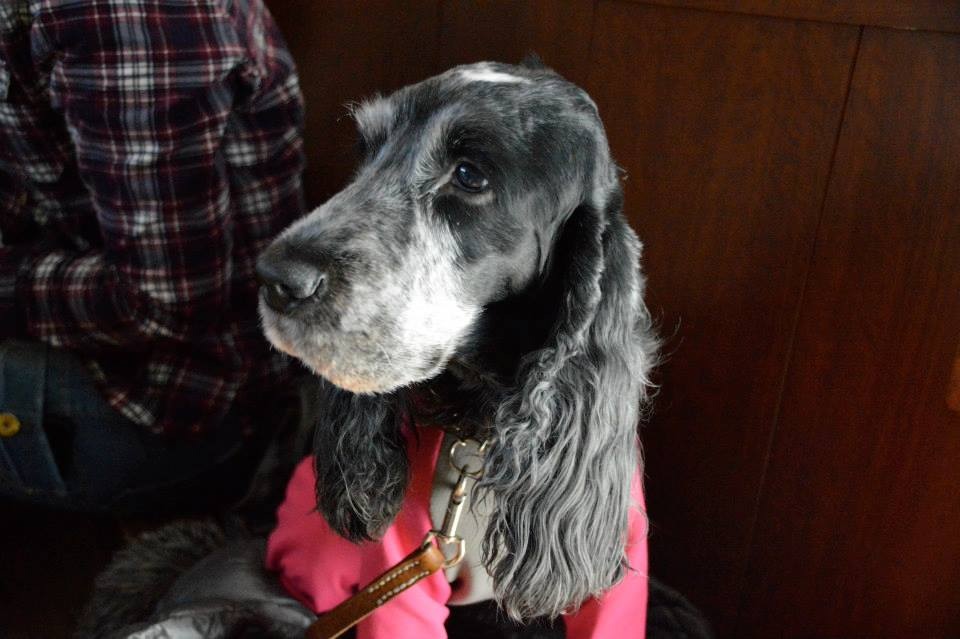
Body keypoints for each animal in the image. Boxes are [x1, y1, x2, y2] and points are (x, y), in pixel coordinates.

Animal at [256, 59, 659, 634]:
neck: (486, 431)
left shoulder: (616, 576)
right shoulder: (401, 568)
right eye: (366, 151)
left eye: (470, 175)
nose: (275, 279)